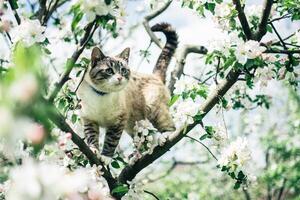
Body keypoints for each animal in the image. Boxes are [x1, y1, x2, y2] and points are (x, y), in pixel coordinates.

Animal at [77, 22, 178, 159]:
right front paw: (94, 151)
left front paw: (106, 157)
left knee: (169, 127)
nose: (119, 77)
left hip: (152, 109)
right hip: (133, 125)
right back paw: (137, 155)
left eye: (123, 70)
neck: (102, 95)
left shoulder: (118, 122)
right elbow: (91, 137)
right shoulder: (89, 119)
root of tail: (153, 75)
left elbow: (111, 141)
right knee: (143, 137)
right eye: (109, 71)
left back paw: (164, 137)